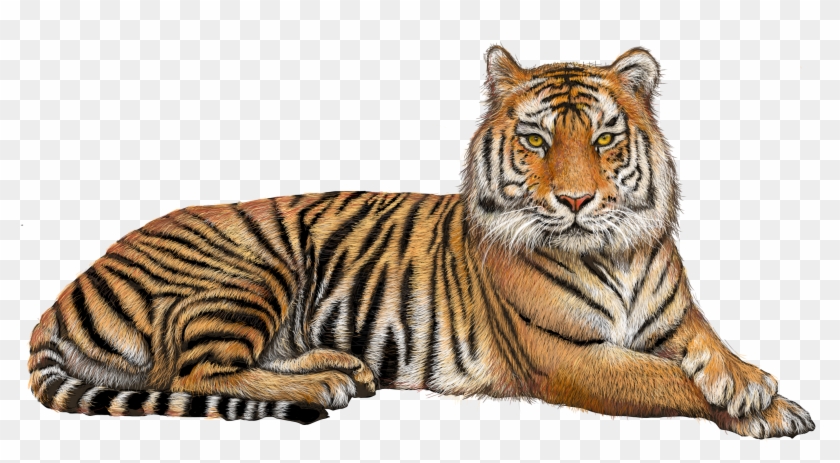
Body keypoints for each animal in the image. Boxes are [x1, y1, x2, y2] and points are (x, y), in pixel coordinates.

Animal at [28, 46, 814, 439]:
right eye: (536, 141)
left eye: (603, 139)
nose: (576, 200)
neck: (615, 251)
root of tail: (62, 295)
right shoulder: (568, 356)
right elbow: (666, 379)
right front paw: (762, 408)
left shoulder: (676, 318)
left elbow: (708, 345)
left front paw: (755, 386)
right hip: (248, 270)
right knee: (193, 372)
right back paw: (322, 383)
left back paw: (342, 365)